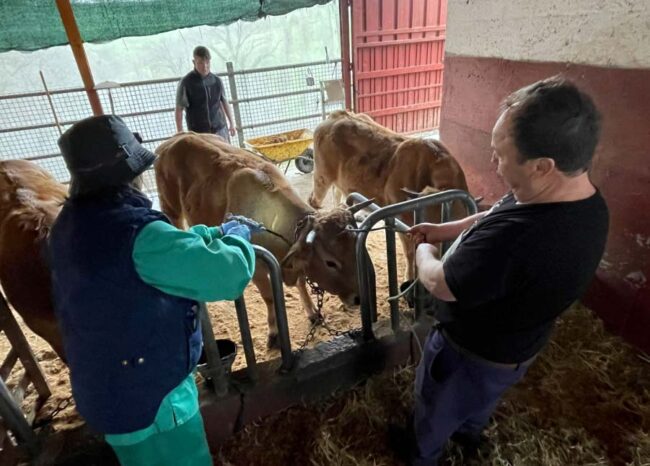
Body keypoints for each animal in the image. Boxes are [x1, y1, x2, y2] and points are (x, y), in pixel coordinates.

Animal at [153, 133, 364, 348]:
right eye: (330, 262)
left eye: (355, 248)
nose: (358, 298)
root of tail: (175, 139)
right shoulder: (258, 267)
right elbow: (269, 296)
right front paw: (274, 332)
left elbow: (300, 282)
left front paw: (313, 313)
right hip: (170, 208)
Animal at [306, 111, 468, 278]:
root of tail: (337, 114)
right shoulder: (402, 218)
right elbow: (410, 252)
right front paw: (410, 277)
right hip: (321, 177)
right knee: (314, 201)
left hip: (338, 181)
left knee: (337, 195)